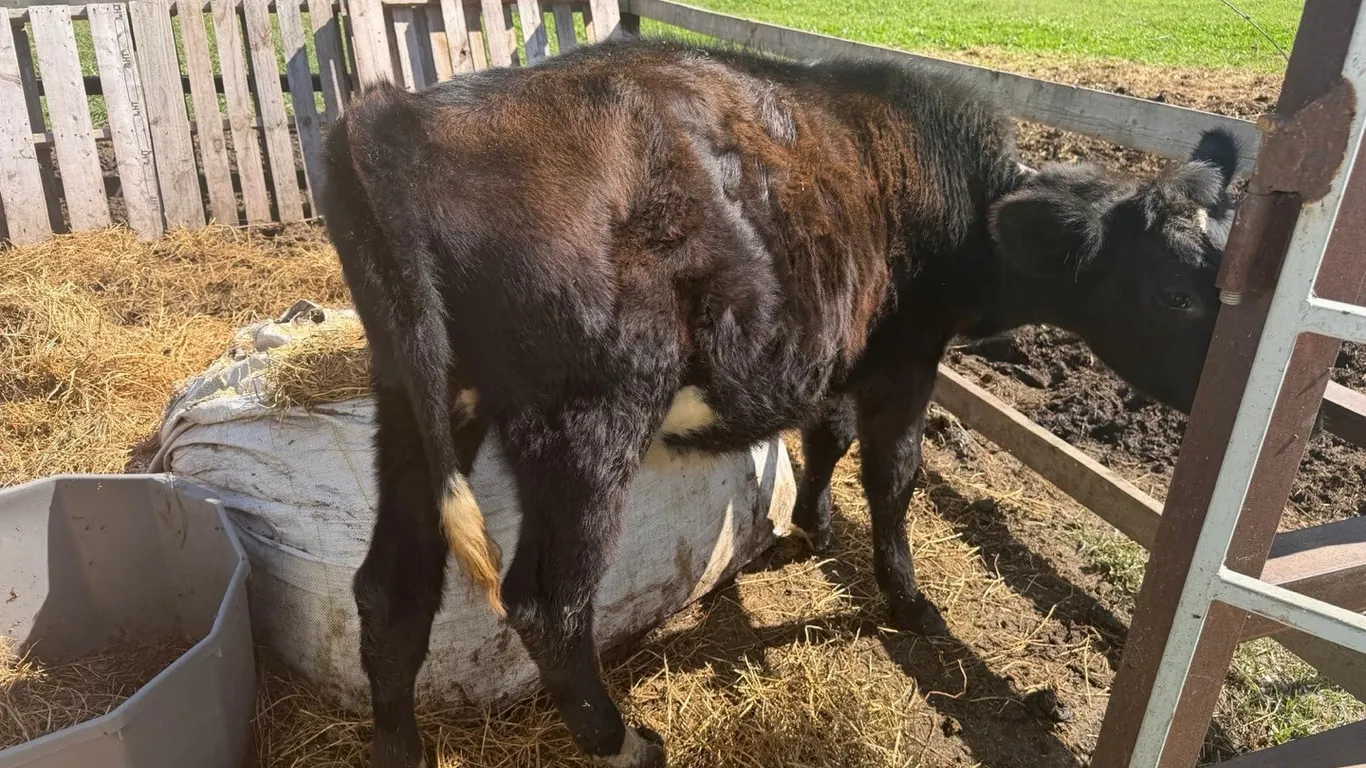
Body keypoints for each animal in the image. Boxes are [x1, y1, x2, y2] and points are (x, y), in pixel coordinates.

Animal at [318, 36, 1240, 768]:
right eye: (1174, 296)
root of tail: (395, 116)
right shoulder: (906, 357)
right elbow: (894, 475)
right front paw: (908, 600)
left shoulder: (843, 351)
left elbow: (829, 437)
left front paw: (813, 524)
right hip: (589, 418)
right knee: (548, 604)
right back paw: (624, 742)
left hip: (418, 403)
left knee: (390, 590)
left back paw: (398, 747)